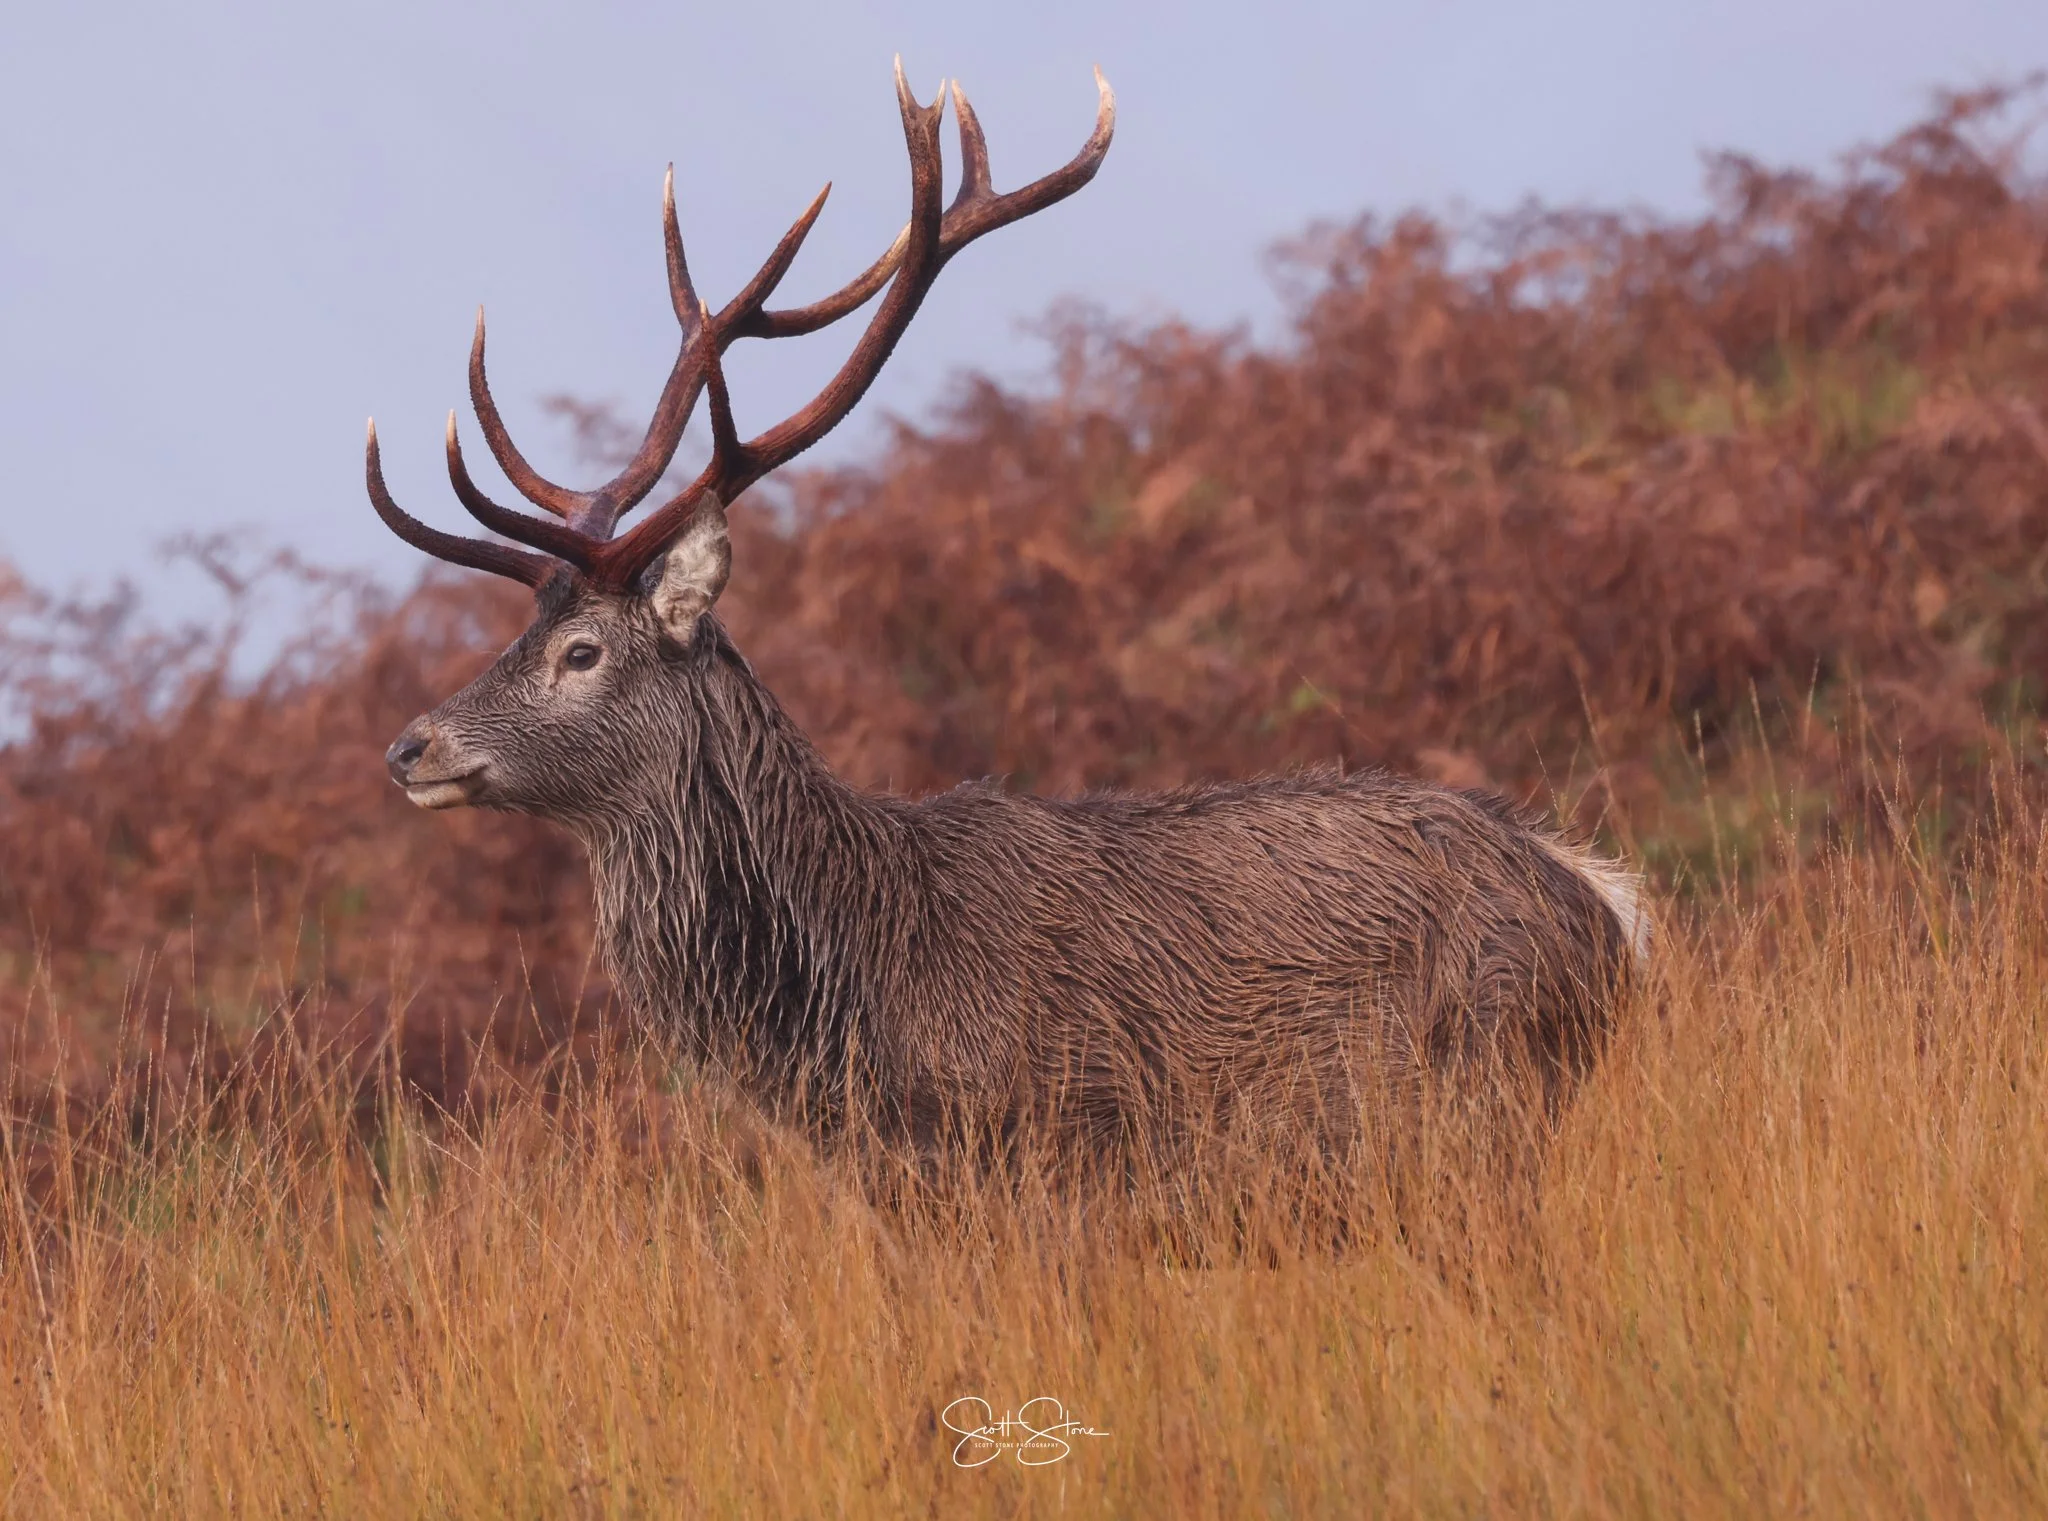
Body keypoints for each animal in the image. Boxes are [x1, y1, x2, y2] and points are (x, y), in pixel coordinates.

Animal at [370, 63, 1649, 1160]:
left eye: (581, 651)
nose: (407, 747)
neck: (867, 1013)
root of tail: (1606, 907)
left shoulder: (1054, 1156)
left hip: (1477, 1101)